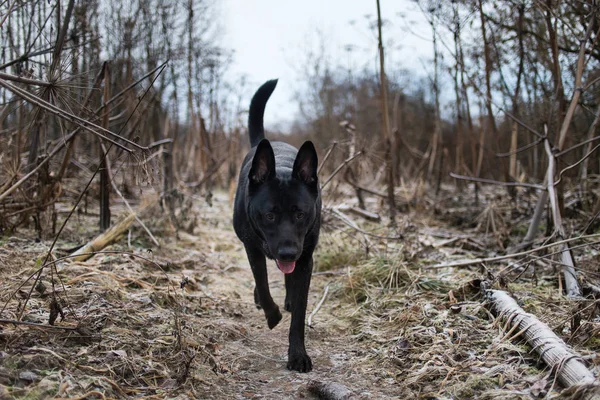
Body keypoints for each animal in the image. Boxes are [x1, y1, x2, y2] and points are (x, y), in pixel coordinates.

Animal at [232, 79, 322, 372]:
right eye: (269, 215)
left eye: (300, 214)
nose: (287, 253)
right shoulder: (252, 247)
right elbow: (261, 281)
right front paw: (272, 314)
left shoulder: (305, 258)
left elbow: (300, 312)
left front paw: (298, 355)